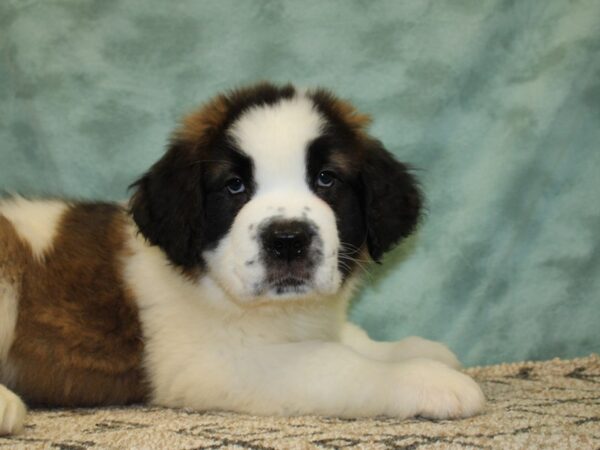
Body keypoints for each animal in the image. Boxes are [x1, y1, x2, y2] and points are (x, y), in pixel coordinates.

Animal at [0, 82, 482, 434]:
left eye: (326, 179)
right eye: (235, 186)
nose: (287, 240)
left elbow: (351, 339)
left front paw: (415, 350)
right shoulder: (222, 365)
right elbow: (338, 363)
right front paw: (430, 380)